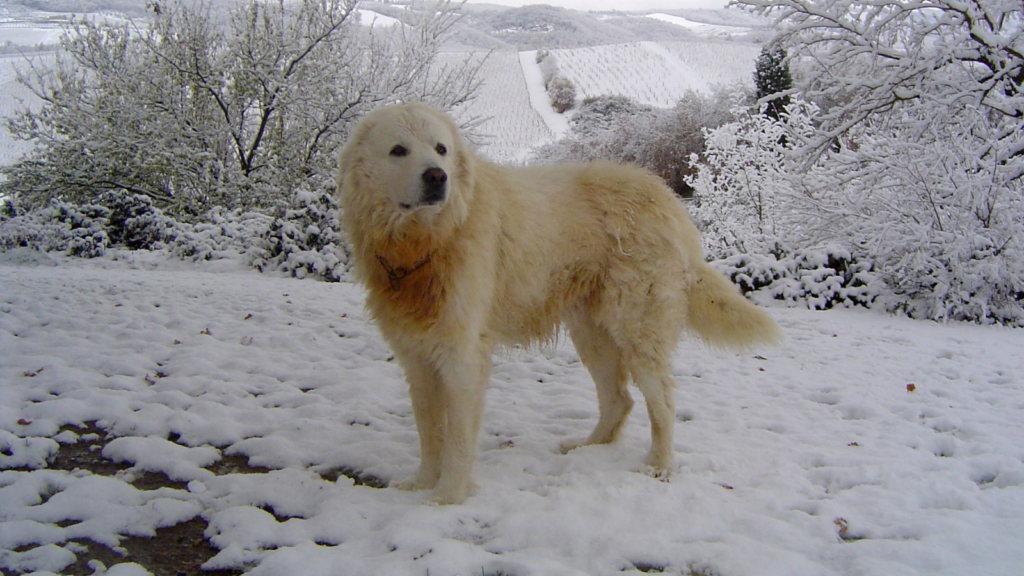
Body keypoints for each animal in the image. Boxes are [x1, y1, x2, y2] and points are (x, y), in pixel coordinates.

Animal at [335, 103, 774, 502]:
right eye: (398, 150)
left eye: (440, 149)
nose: (436, 176)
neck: (425, 244)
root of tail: (667, 199)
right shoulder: (418, 359)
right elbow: (430, 432)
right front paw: (422, 483)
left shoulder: (463, 358)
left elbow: (457, 439)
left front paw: (447, 498)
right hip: (592, 334)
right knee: (619, 400)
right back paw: (588, 447)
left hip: (639, 331)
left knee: (661, 401)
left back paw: (659, 466)